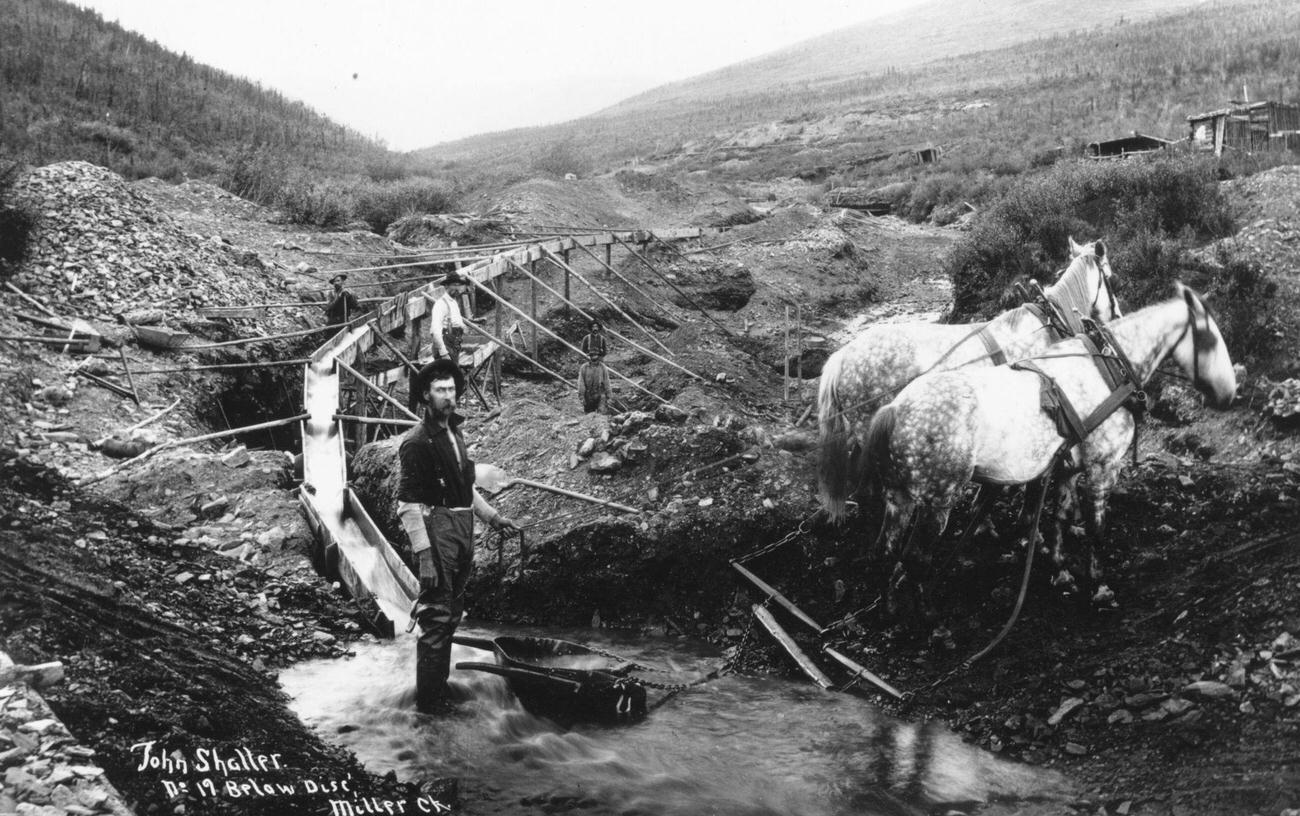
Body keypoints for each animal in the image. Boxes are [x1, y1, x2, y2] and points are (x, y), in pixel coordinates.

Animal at [863, 287, 1237, 613]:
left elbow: (1060, 517)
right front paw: (1098, 586)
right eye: (1210, 340)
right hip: (937, 500)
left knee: (887, 549)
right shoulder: (1103, 468)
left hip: (899, 497)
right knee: (916, 558)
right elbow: (1096, 530)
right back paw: (928, 616)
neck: (1108, 369)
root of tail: (894, 408)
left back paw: (891, 605)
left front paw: (1061, 570)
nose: (1230, 394)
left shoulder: (1067, 469)